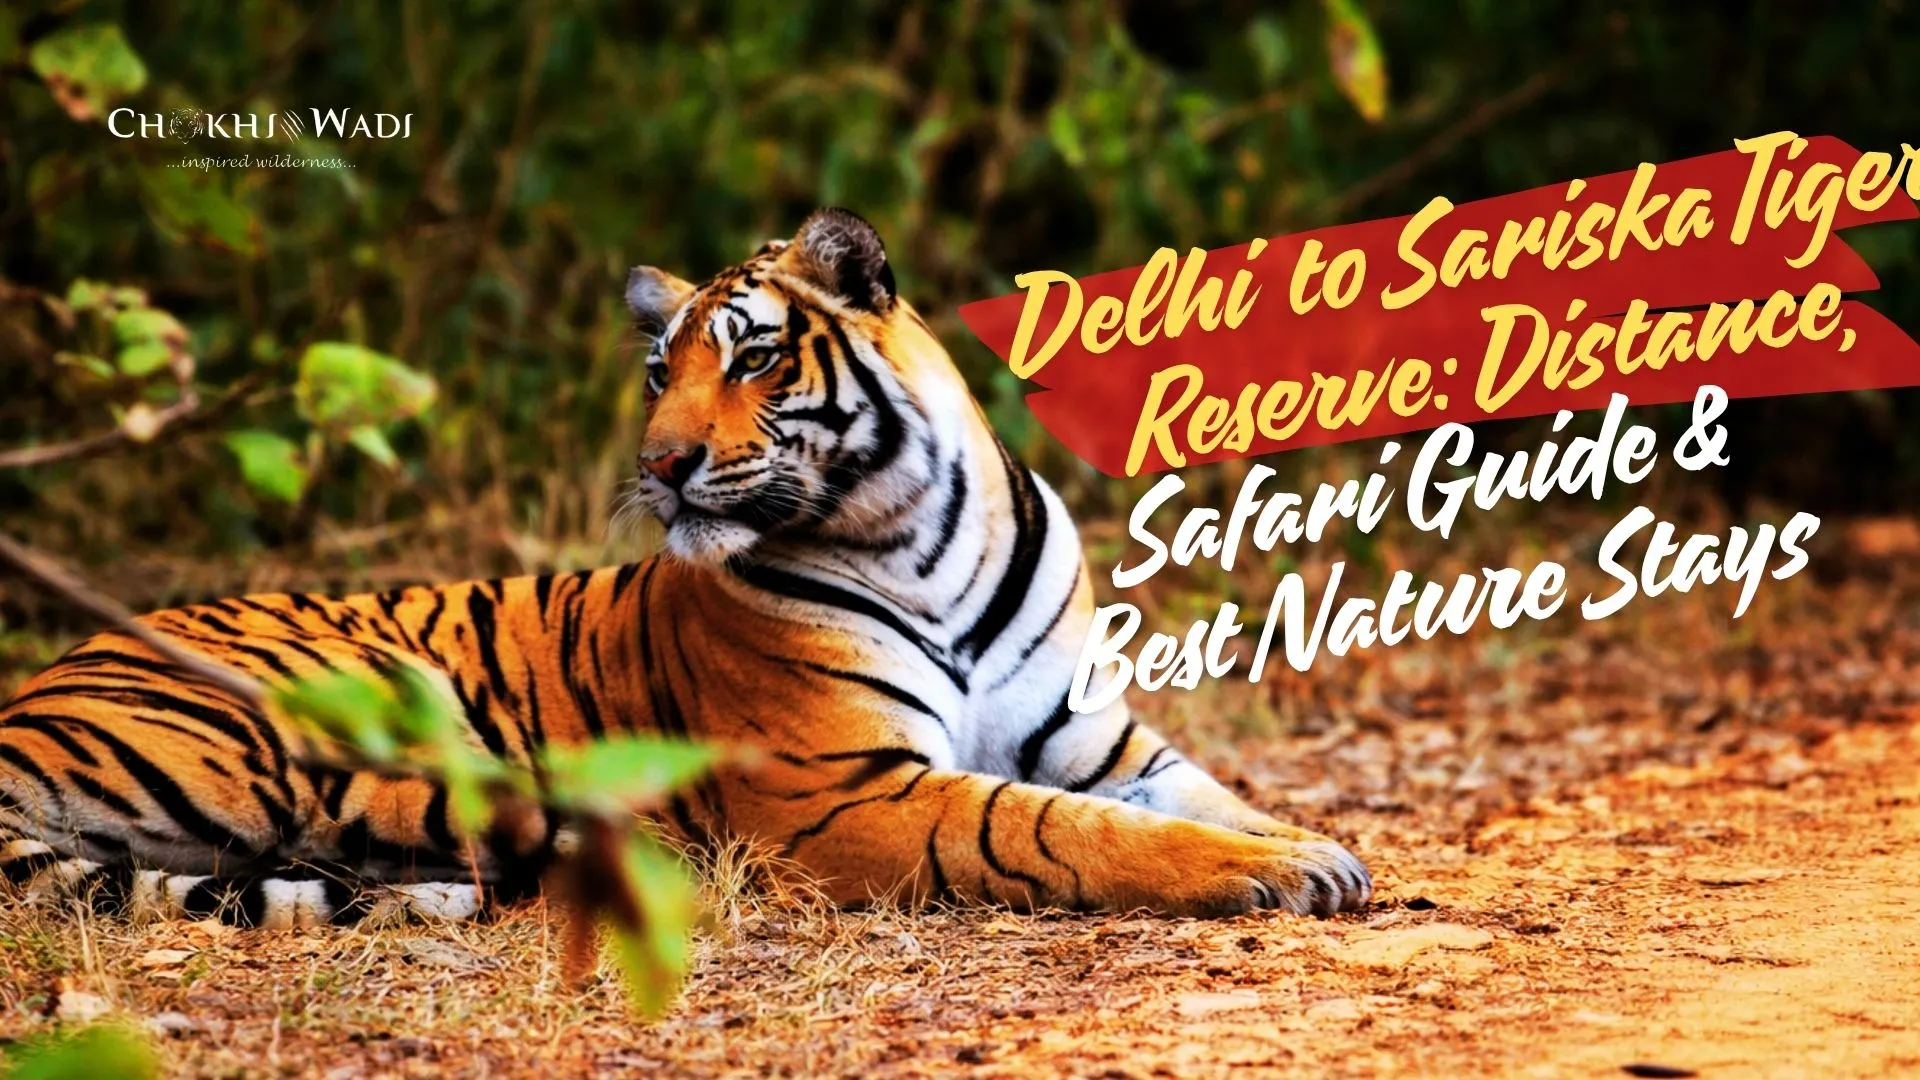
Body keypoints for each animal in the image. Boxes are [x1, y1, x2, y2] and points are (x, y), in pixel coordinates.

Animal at [0, 208, 1370, 928]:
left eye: (754, 357)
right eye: (661, 371)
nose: (658, 465)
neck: (923, 539)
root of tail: (40, 689)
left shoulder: (1097, 739)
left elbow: (1205, 796)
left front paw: (1317, 846)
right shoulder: (845, 793)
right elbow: (1056, 829)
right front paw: (1275, 870)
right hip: (333, 719)